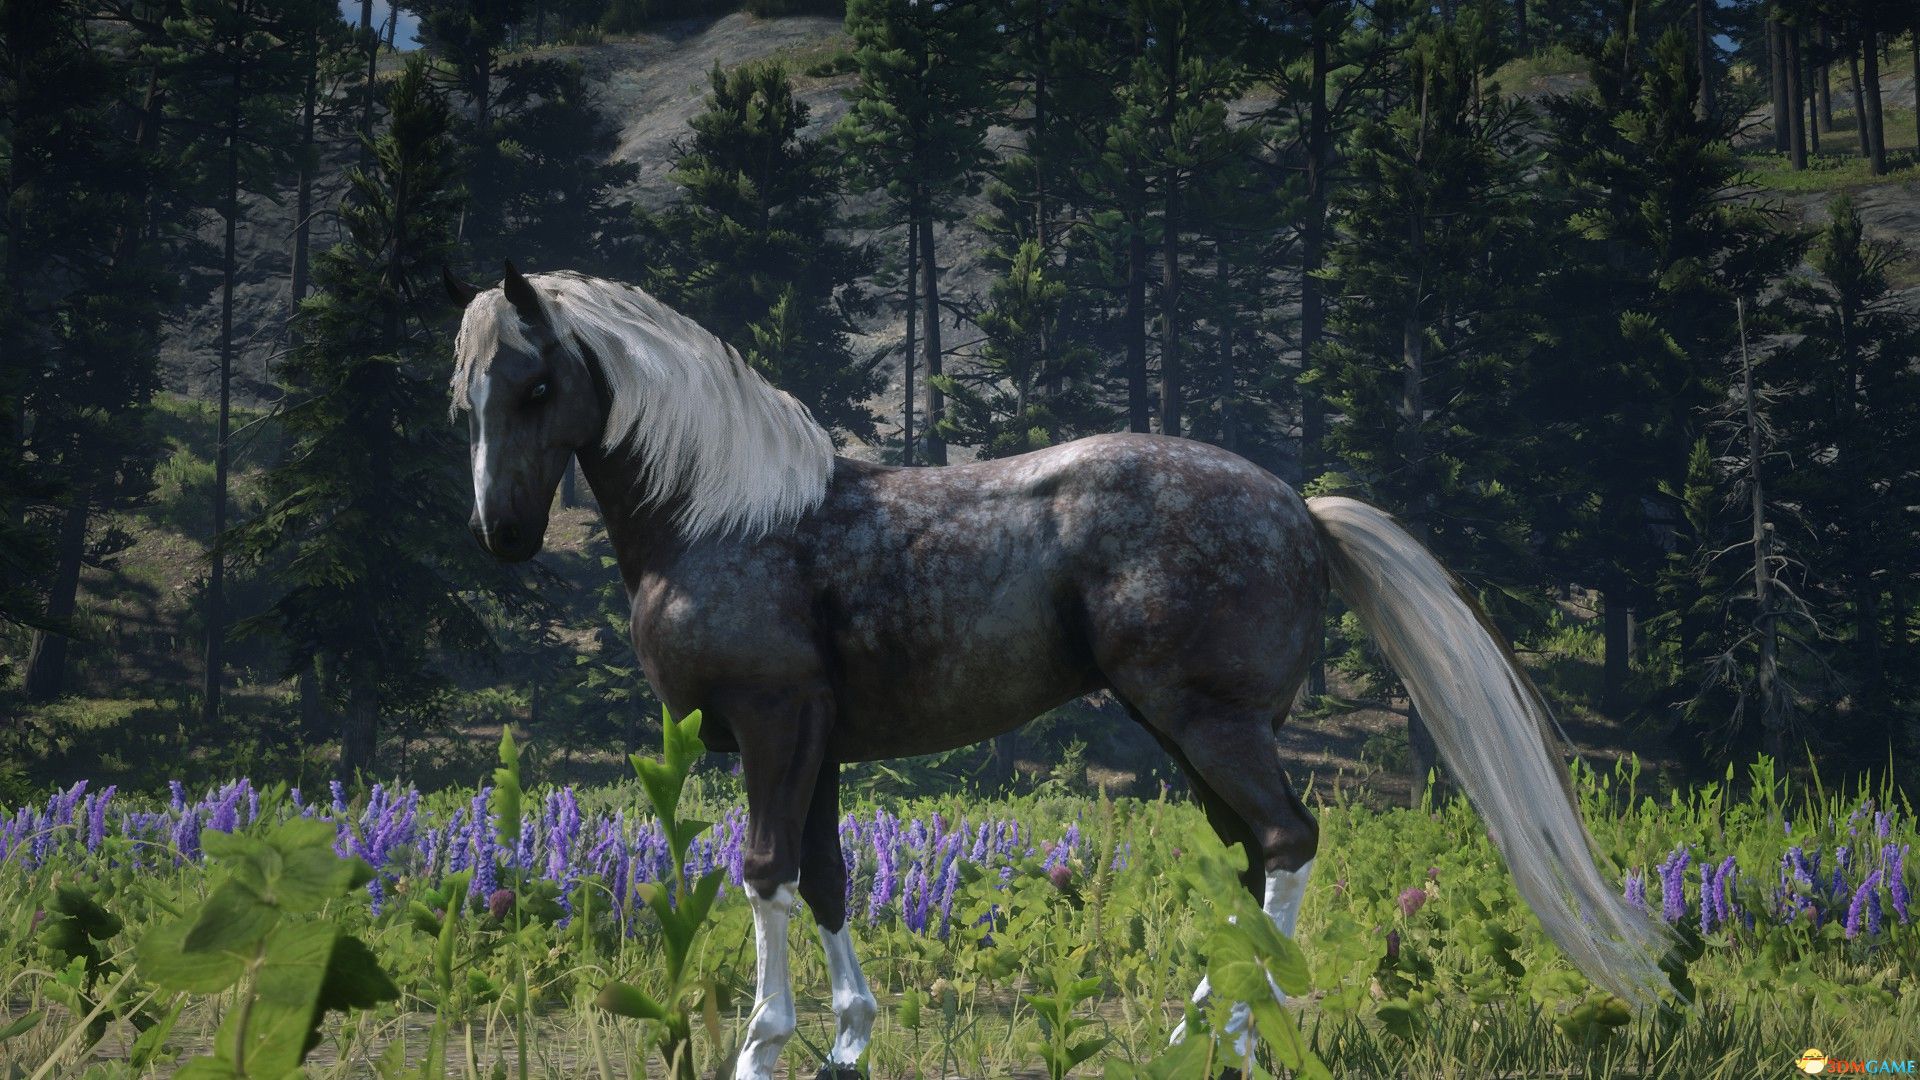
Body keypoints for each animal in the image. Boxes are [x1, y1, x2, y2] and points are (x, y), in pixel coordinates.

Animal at [447, 263, 1672, 1079]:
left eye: (536, 385)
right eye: (470, 395)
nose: (500, 535)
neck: (726, 515)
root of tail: (1300, 509)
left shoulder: (772, 726)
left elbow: (765, 874)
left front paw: (763, 1047)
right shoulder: (818, 746)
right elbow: (829, 878)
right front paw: (847, 1044)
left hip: (1210, 725)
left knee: (1286, 843)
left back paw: (1237, 1035)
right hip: (1196, 737)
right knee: (1249, 860)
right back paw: (1193, 1030)